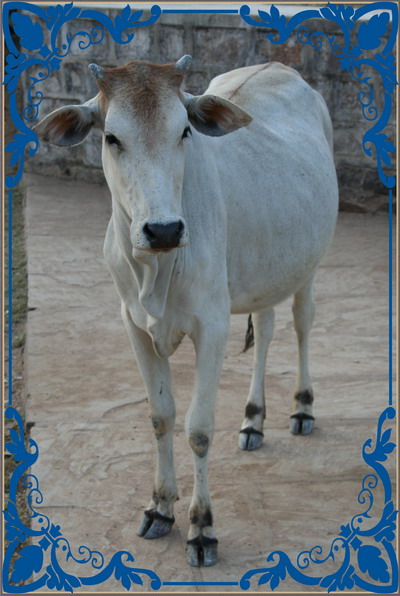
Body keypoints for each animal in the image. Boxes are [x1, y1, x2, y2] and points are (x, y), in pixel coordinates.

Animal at [34, 55, 338, 567]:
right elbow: (161, 416)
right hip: (264, 274)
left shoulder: (210, 327)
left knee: (302, 324)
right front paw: (160, 508)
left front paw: (202, 528)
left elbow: (198, 428)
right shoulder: (133, 325)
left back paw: (302, 408)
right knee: (267, 327)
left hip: (309, 266)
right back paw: (253, 418)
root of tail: (279, 66)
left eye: (184, 131)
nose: (163, 229)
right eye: (111, 137)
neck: (156, 270)